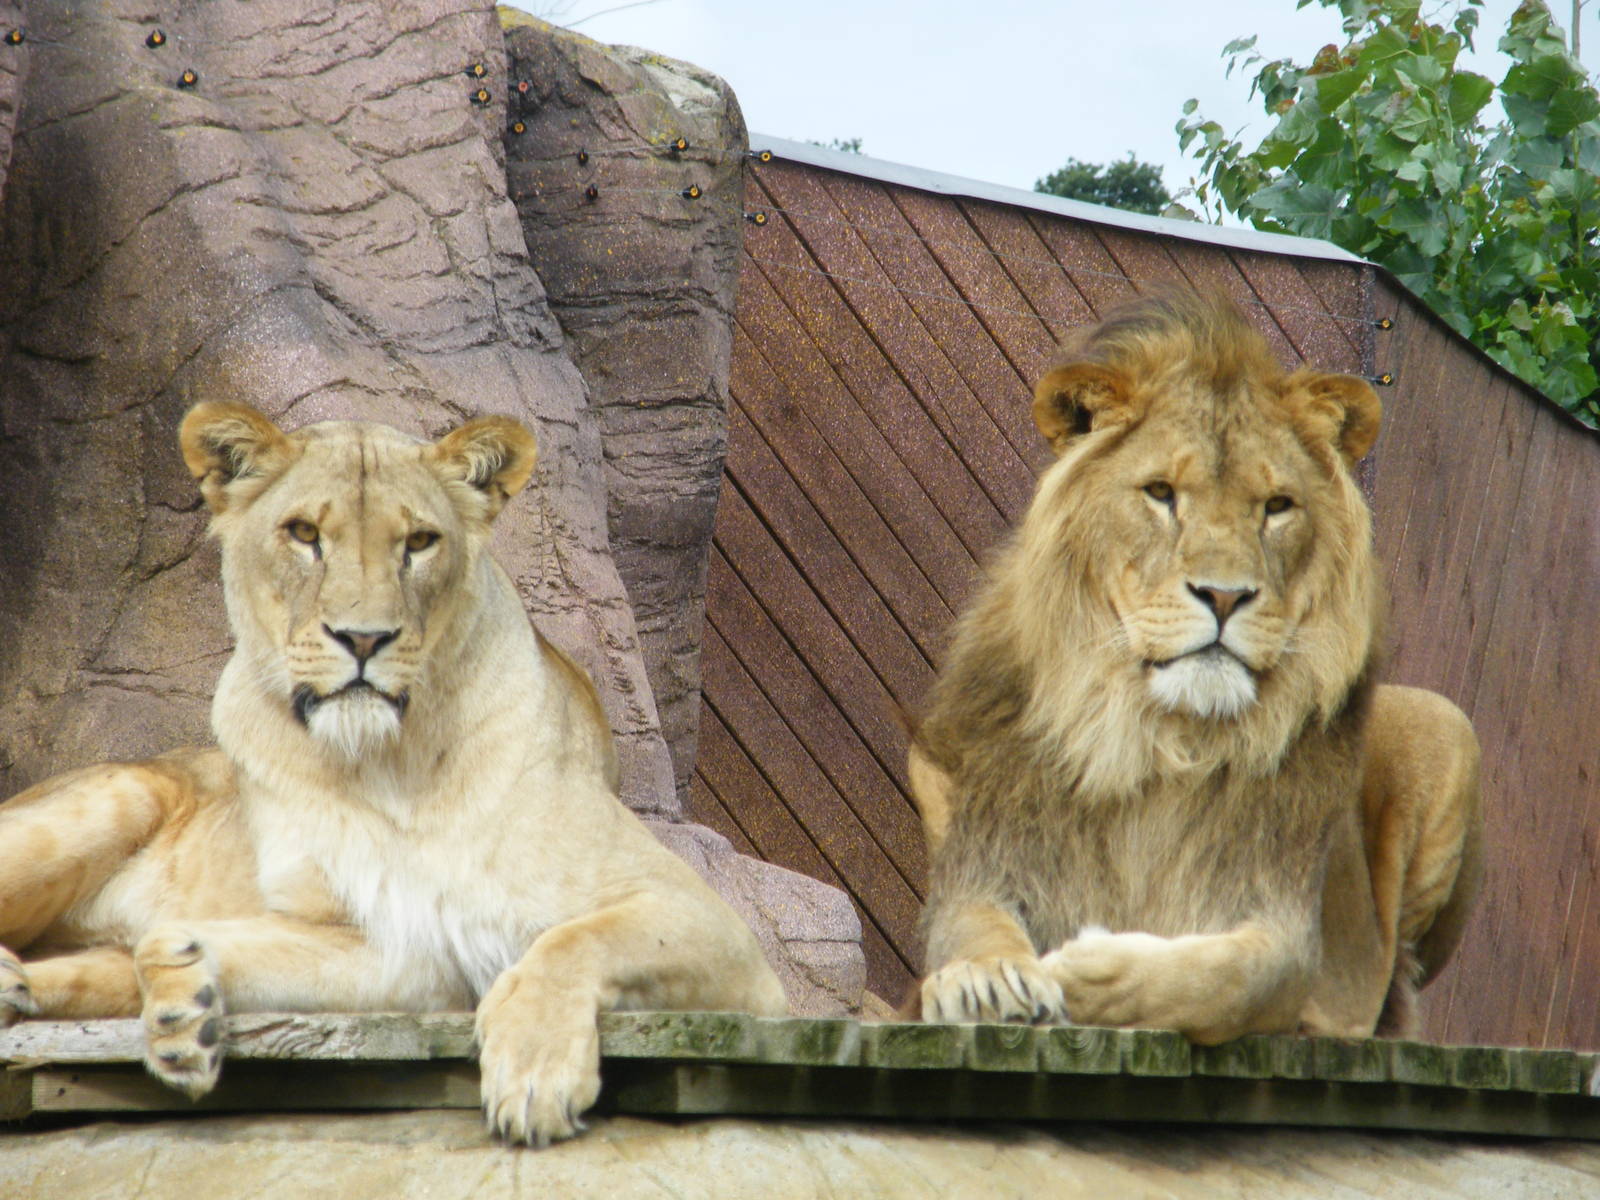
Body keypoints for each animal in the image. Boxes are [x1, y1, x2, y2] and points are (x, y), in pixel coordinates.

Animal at [0, 403, 787, 1145]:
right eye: (304, 534)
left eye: (419, 542)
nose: (363, 639)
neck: (391, 768)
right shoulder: (385, 938)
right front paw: (183, 994)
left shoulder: (707, 927)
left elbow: (571, 940)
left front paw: (533, 1077)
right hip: (113, 797)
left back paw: (26, 987)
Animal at [910, 292, 1483, 1043]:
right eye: (1160, 493)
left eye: (1277, 506)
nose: (1225, 595)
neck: (1163, 737)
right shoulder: (987, 855)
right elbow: (969, 927)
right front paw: (989, 982)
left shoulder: (1280, 916)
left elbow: (1230, 978)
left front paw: (1083, 968)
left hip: (1449, 727)